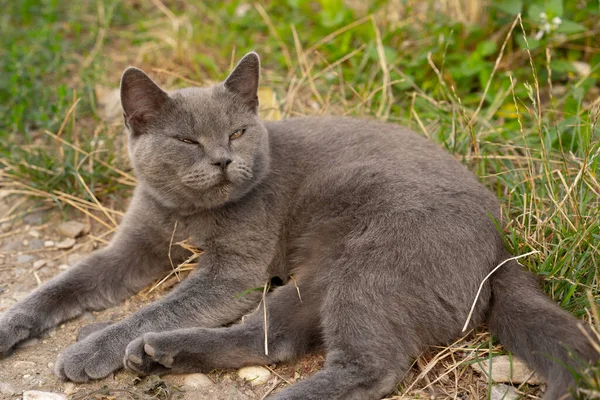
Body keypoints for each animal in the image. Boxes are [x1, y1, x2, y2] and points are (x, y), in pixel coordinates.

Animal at [0, 53, 596, 400]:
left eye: (238, 132)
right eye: (187, 140)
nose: (223, 160)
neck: (184, 214)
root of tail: (502, 247)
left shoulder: (232, 272)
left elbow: (157, 305)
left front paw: (90, 349)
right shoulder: (131, 248)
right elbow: (65, 284)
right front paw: (13, 326)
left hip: (372, 269)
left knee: (371, 365)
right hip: (318, 278)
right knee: (273, 338)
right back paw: (156, 353)